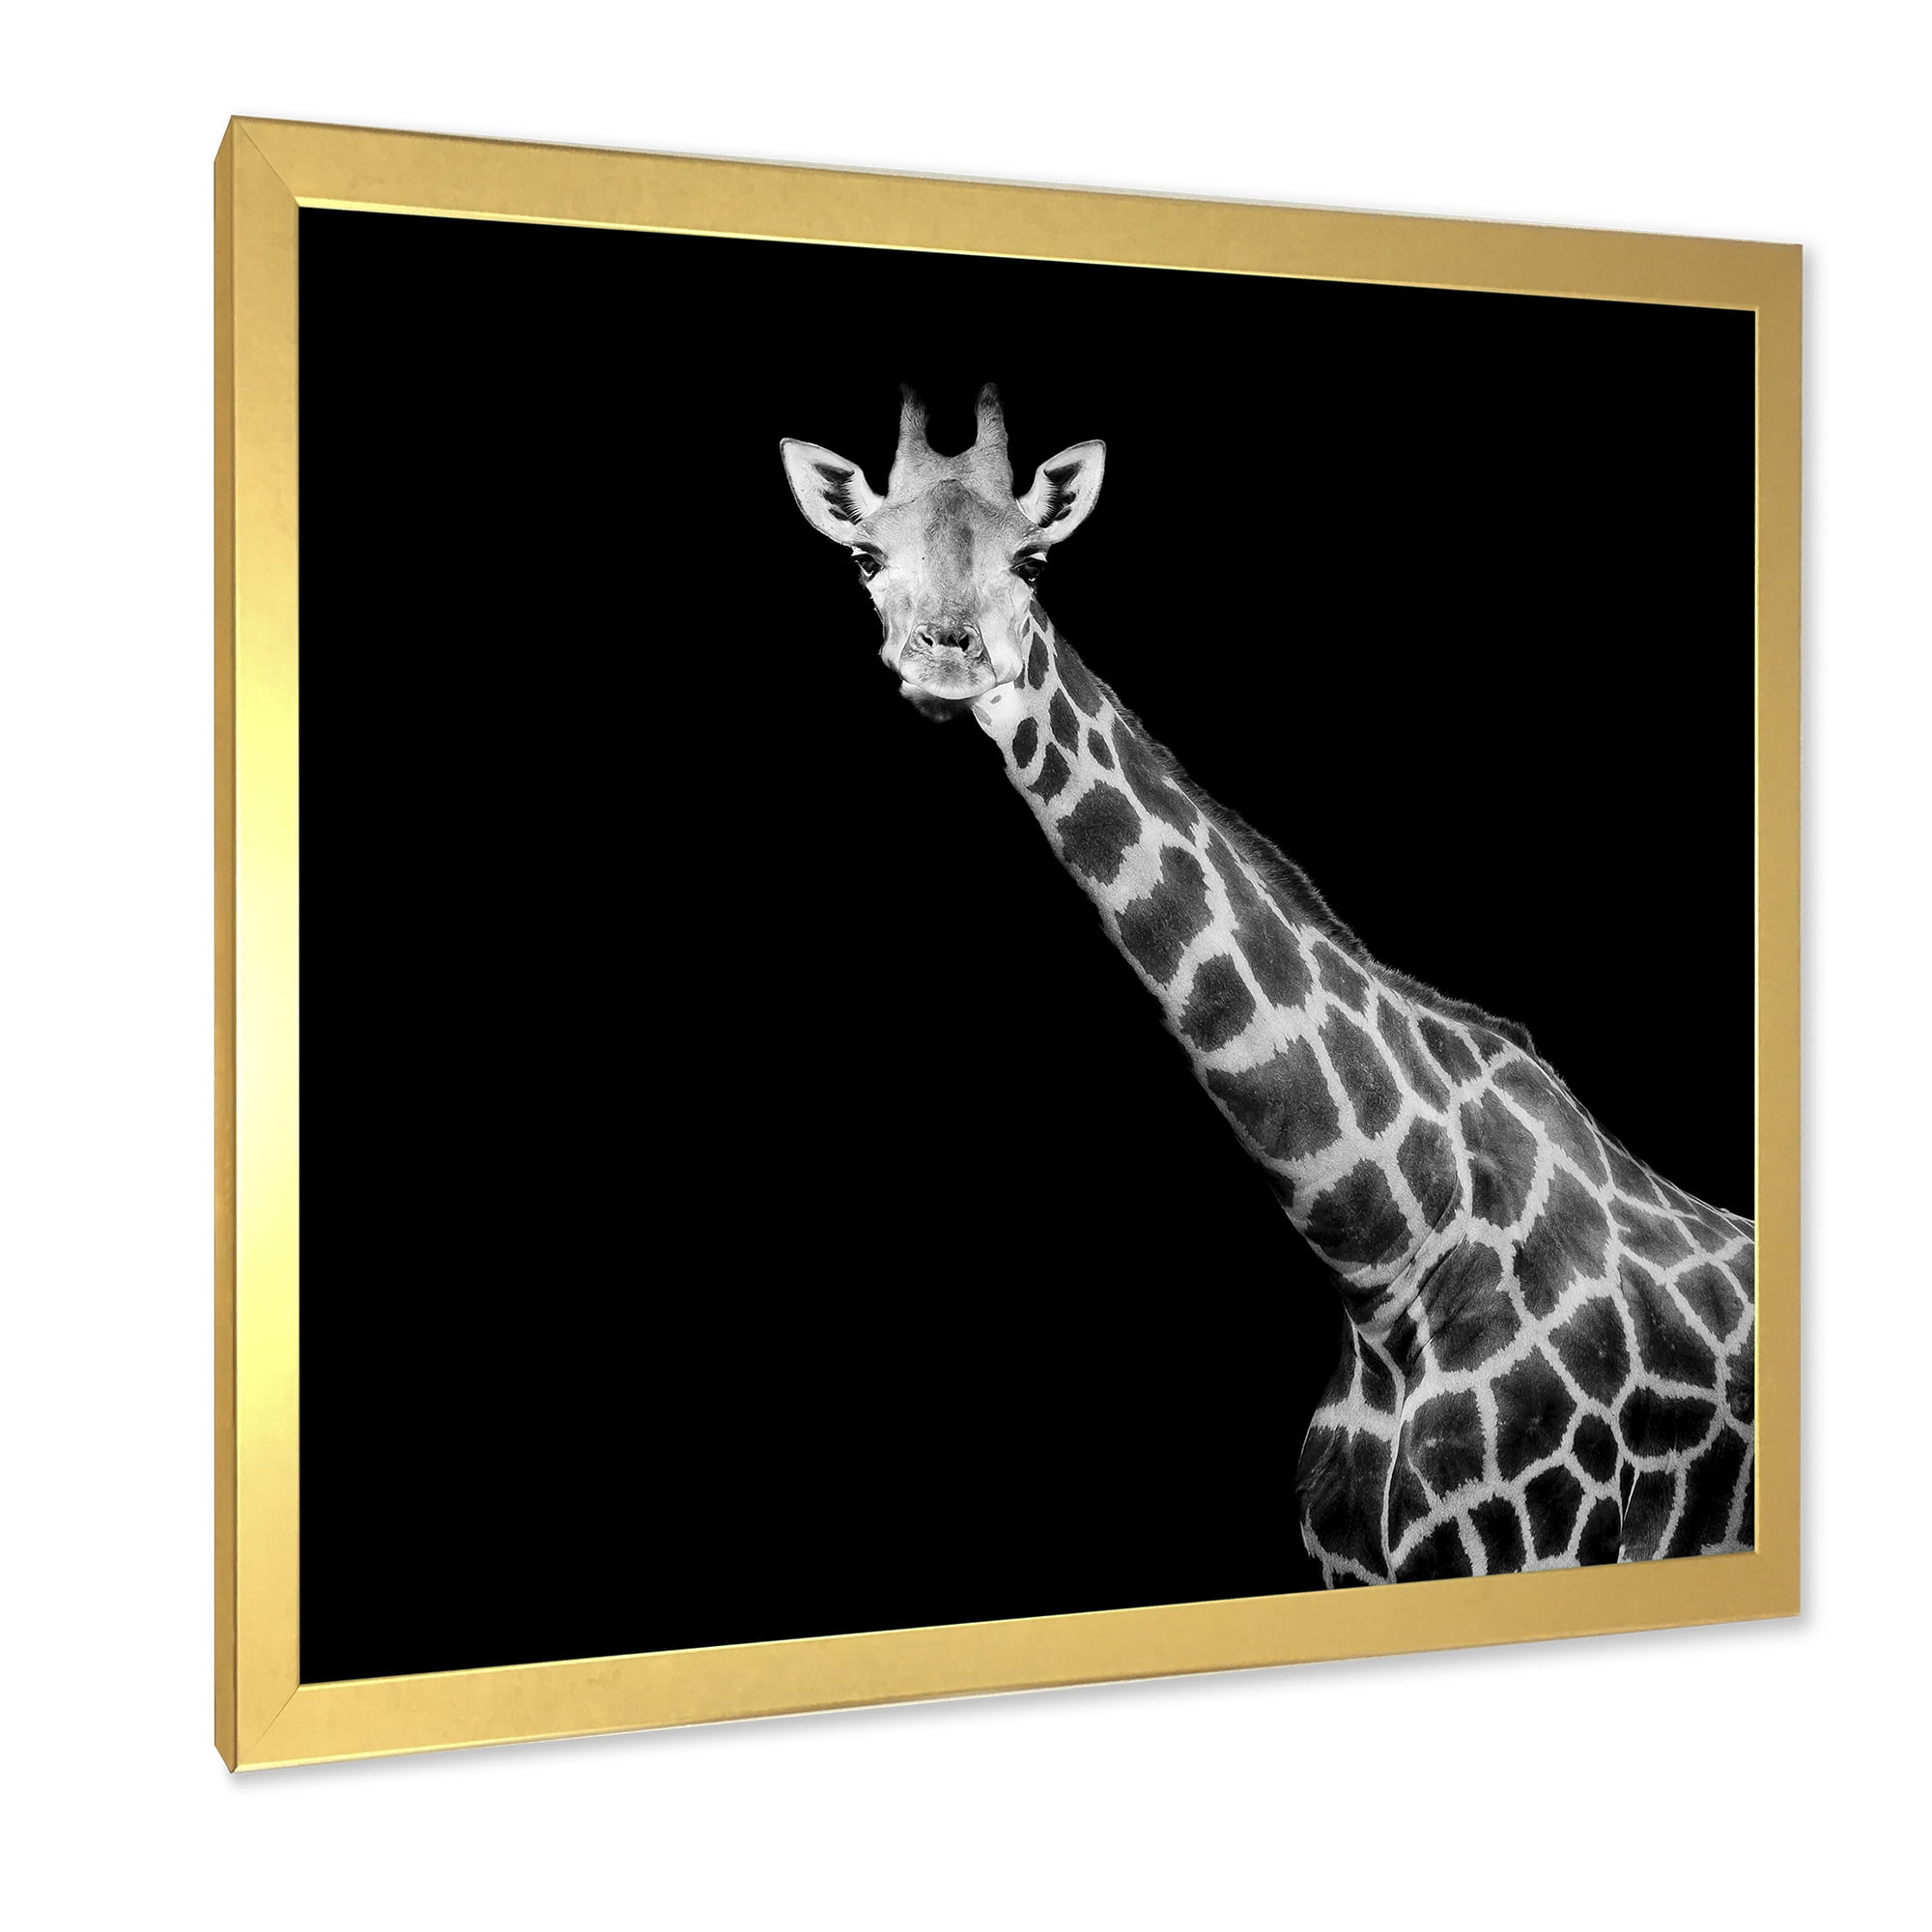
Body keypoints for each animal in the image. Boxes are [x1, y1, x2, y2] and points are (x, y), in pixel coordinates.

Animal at [779, 386, 1755, 1584]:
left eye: (1035, 560)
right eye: (865, 556)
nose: (949, 658)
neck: (1385, 1255)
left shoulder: (1545, 1544)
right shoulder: (1348, 1565)